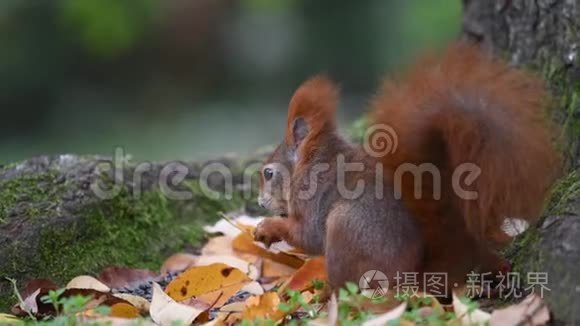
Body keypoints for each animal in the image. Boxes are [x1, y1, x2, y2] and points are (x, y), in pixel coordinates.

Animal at [254, 42, 560, 292]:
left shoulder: (313, 195)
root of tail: (414, 276)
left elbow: (309, 236)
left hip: (345, 227)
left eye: (268, 173)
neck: (311, 161)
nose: (259, 202)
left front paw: (268, 227)